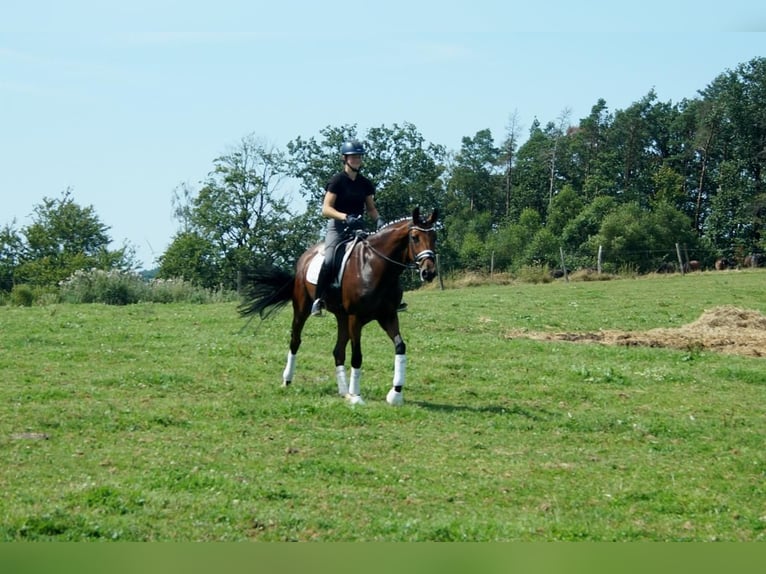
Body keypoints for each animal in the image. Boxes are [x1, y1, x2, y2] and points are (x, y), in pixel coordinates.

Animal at [240, 209, 444, 408]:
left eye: (434, 236)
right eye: (415, 237)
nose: (429, 272)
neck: (374, 267)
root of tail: (304, 258)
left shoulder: (388, 315)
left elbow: (400, 346)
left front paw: (396, 394)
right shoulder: (356, 318)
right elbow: (357, 355)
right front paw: (356, 396)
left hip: (342, 317)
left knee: (338, 351)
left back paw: (343, 391)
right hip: (302, 309)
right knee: (295, 341)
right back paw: (287, 380)